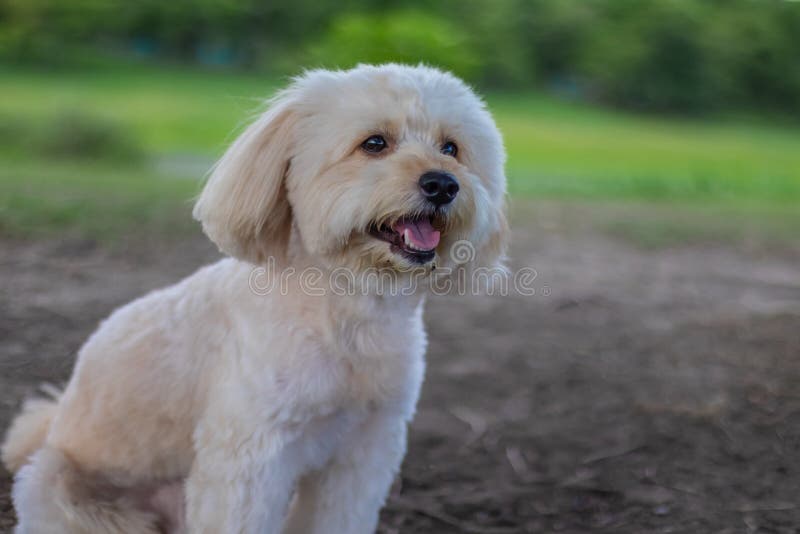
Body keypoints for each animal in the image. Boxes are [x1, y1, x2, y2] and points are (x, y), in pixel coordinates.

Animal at [1, 63, 506, 534]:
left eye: (451, 148)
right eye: (374, 143)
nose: (442, 184)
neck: (344, 305)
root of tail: (50, 424)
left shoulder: (364, 449)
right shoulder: (252, 454)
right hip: (64, 487)